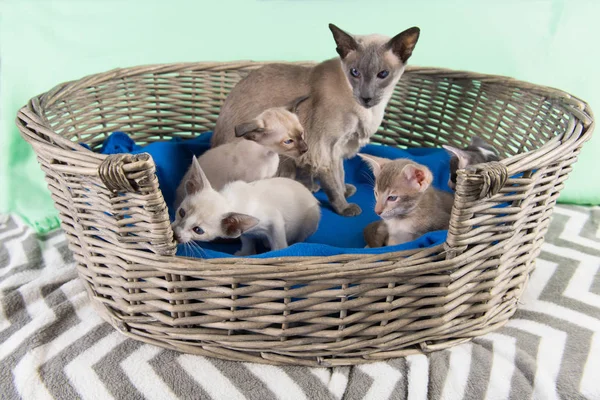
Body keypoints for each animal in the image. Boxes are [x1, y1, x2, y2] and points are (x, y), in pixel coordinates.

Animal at [171, 157, 322, 255]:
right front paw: (246, 253)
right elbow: (246, 239)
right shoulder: (245, 230)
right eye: (182, 213)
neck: (229, 199)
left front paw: (279, 252)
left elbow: (279, 243)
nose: (175, 233)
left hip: (312, 219)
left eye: (198, 230)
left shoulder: (275, 218)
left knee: (301, 236)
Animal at [213, 24, 420, 219]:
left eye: (383, 74)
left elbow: (341, 174)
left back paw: (311, 187)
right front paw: (345, 207)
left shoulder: (338, 148)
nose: (366, 97)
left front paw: (346, 191)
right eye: (355, 72)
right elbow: (334, 183)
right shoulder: (324, 149)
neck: (369, 111)